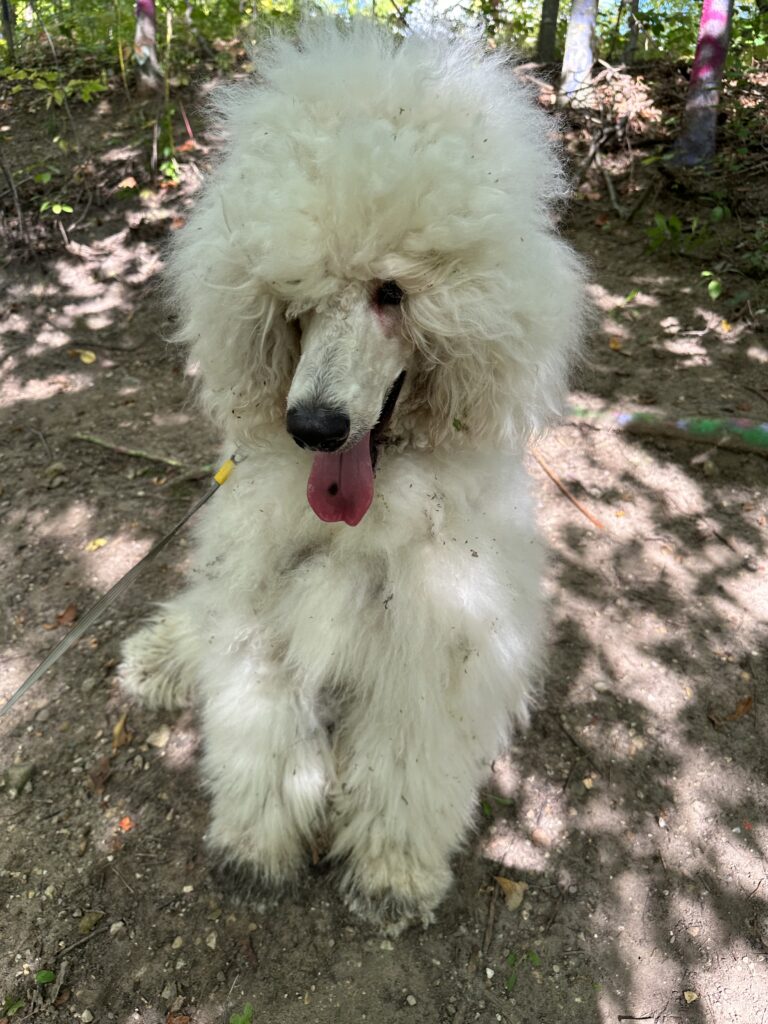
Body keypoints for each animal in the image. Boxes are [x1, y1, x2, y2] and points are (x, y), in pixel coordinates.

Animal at [120, 17, 584, 934]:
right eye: (291, 295)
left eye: (392, 292)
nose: (313, 427)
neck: (362, 519)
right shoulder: (264, 613)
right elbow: (258, 733)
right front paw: (255, 846)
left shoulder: (431, 645)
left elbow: (407, 764)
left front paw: (390, 876)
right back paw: (158, 656)